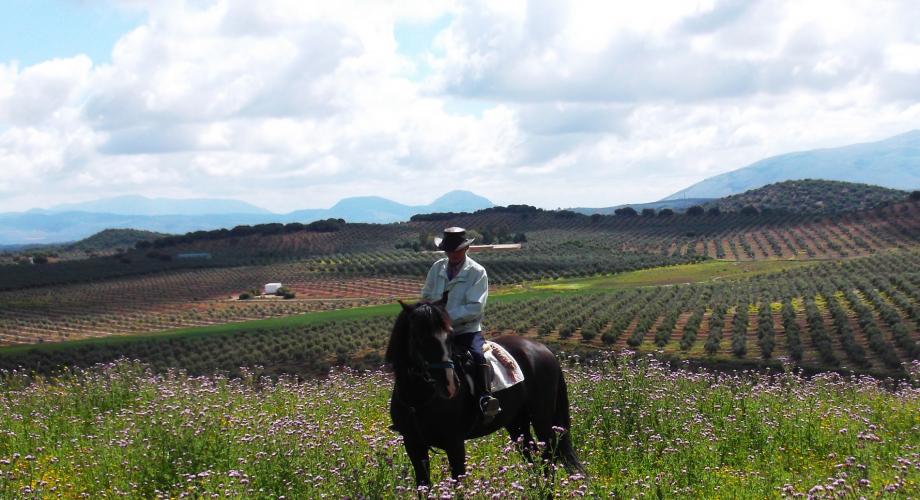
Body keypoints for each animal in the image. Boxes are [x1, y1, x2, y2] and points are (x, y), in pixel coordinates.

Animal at [382, 298, 584, 486]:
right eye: (418, 337)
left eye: (450, 336)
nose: (450, 385)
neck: (418, 400)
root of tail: (544, 349)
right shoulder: (414, 445)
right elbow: (423, 486)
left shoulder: (454, 444)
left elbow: (458, 485)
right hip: (516, 422)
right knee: (530, 452)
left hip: (541, 417)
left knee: (549, 453)